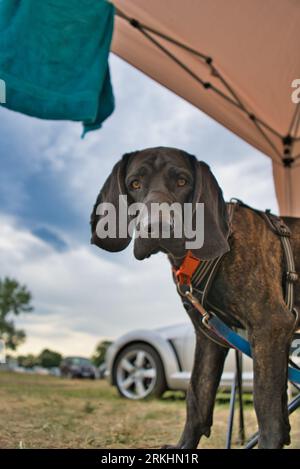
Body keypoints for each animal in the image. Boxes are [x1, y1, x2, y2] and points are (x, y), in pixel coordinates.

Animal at [90, 146, 298, 446]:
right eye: (135, 184)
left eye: (182, 181)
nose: (157, 226)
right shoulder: (209, 335)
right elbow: (197, 397)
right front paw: (183, 446)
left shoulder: (270, 326)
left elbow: (267, 408)